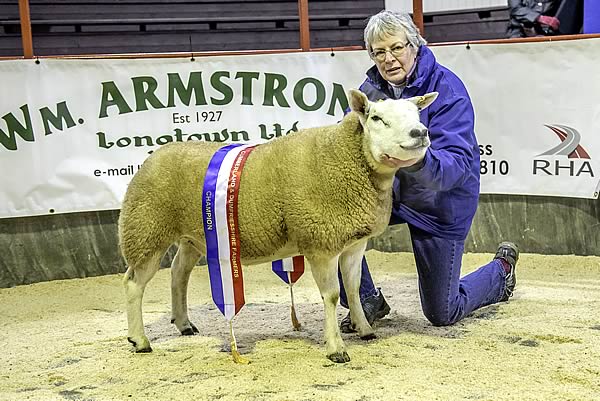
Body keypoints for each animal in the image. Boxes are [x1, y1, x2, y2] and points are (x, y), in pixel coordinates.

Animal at [118, 88, 436, 362]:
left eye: (417, 114)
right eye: (377, 118)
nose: (420, 133)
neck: (346, 158)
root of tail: (154, 156)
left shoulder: (354, 243)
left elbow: (354, 287)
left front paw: (365, 329)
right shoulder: (320, 242)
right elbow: (333, 296)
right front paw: (336, 348)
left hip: (192, 236)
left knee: (178, 273)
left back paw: (184, 324)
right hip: (146, 228)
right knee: (134, 282)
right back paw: (140, 340)